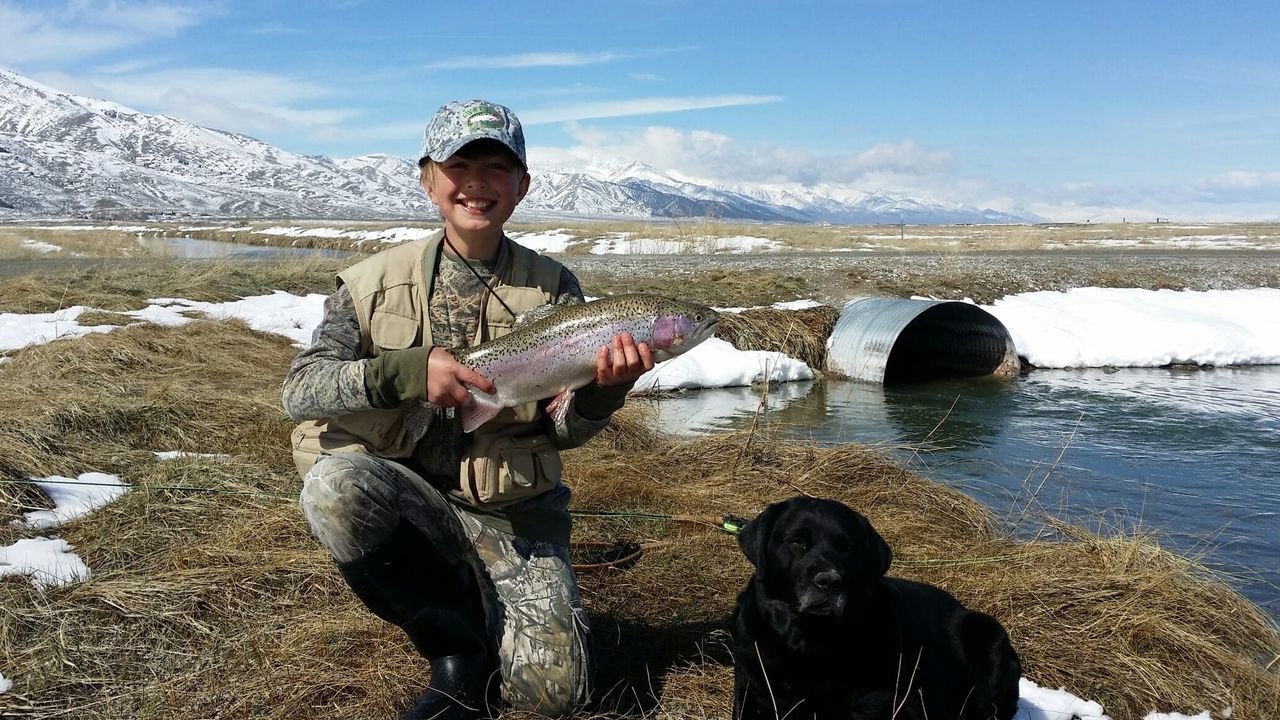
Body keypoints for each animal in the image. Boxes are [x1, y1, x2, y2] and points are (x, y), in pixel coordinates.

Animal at [732, 491, 1018, 717]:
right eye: (797, 542)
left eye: (848, 548)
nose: (830, 581)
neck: (808, 641)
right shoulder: (750, 690)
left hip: (987, 631)